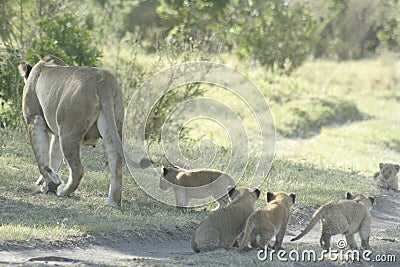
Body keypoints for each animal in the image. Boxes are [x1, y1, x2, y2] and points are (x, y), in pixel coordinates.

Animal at [18, 55, 152, 207]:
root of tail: (102, 79)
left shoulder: (34, 120)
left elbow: (43, 160)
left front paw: (52, 181)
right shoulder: (57, 134)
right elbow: (53, 157)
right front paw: (49, 184)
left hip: (69, 131)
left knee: (78, 170)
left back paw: (63, 191)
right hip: (111, 126)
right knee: (116, 167)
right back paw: (112, 202)